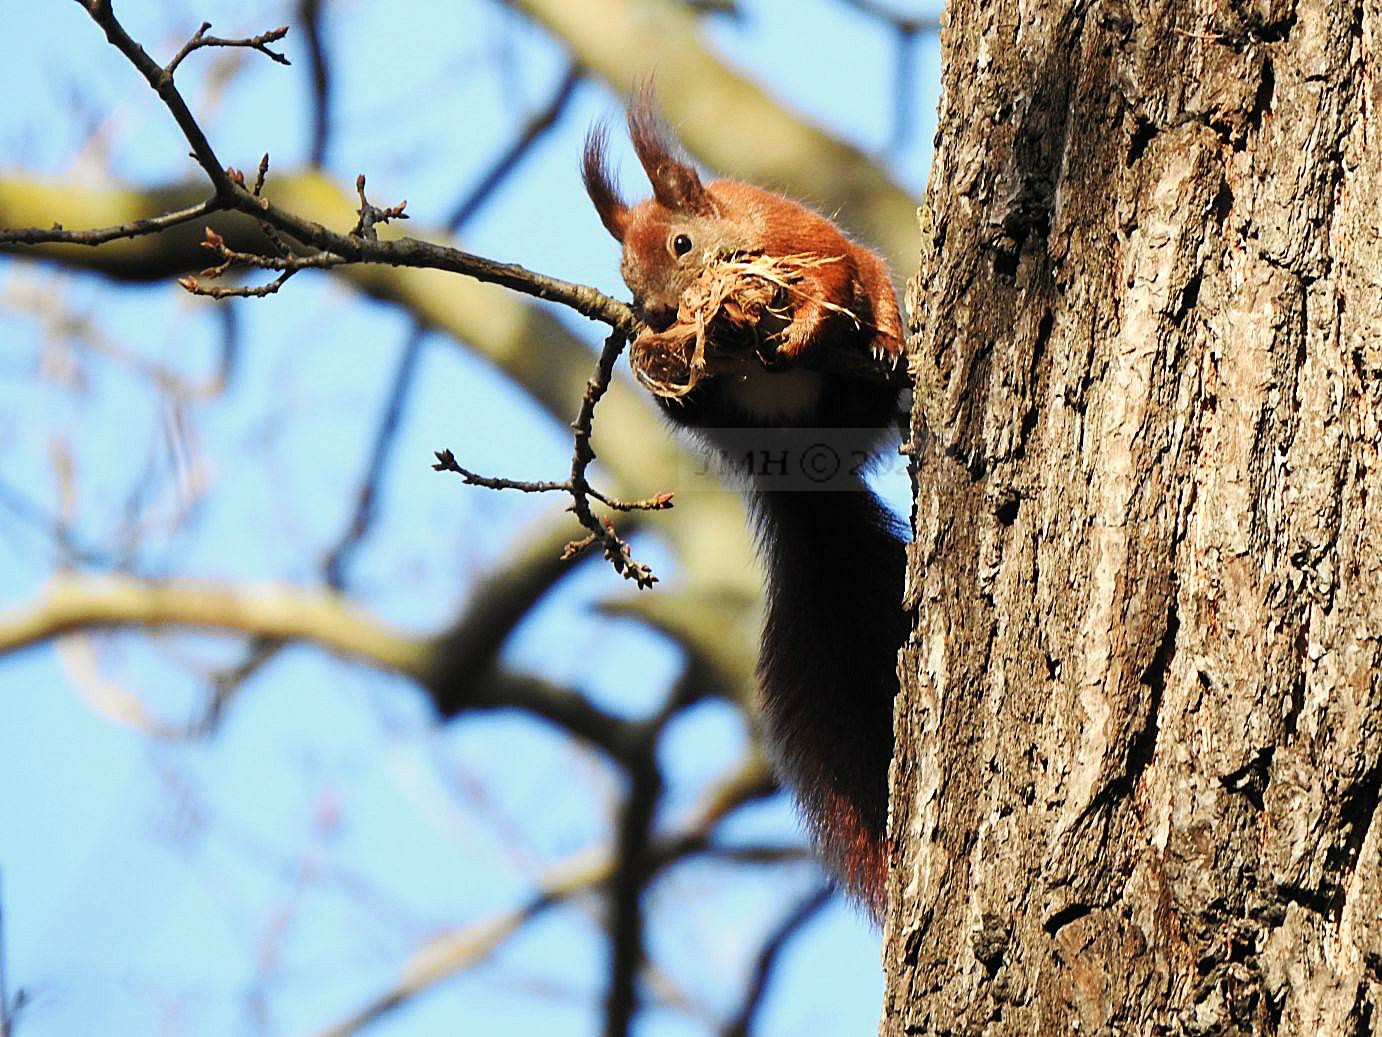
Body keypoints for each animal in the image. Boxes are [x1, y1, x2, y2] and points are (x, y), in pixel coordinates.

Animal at [580, 93, 906, 923]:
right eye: (625, 279)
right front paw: (668, 358)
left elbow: (832, 278)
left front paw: (803, 329)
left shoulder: (801, 241)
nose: (660, 314)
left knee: (872, 292)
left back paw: (885, 345)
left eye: (683, 243)